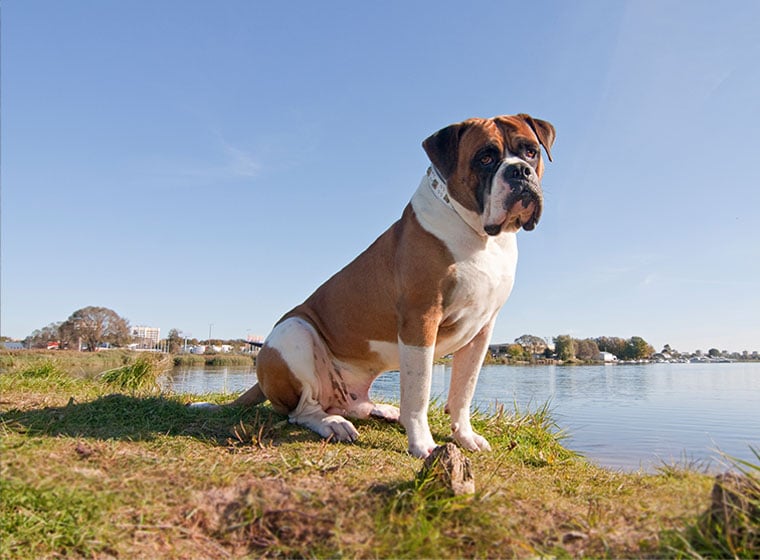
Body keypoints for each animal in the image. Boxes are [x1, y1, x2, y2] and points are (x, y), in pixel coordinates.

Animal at [193, 115, 556, 460]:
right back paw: (333, 423)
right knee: (301, 410)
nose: (520, 171)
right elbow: (419, 391)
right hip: (293, 333)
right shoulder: (421, 320)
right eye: (485, 158)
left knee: (351, 404)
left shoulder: (482, 330)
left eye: (530, 152)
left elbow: (463, 390)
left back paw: (382, 410)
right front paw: (422, 444)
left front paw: (465, 437)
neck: (481, 235)